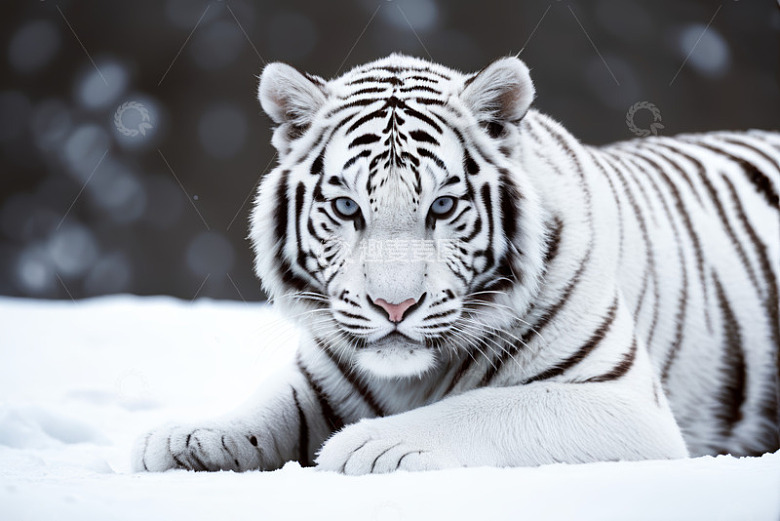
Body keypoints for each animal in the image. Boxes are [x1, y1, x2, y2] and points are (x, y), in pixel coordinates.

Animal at [133, 54, 779, 475]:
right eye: (346, 207)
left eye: (442, 206)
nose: (394, 306)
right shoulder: (321, 379)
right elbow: (268, 409)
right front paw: (188, 437)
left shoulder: (625, 403)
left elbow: (492, 406)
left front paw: (370, 446)